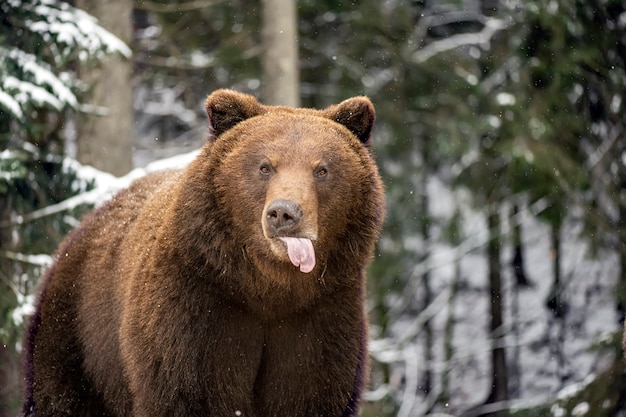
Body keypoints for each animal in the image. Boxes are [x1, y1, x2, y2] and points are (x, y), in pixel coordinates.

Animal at [20, 89, 386, 414]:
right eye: (265, 166)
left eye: (321, 169)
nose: (284, 213)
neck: (267, 288)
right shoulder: (195, 312)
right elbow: (186, 391)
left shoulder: (321, 319)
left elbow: (310, 392)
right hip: (80, 334)